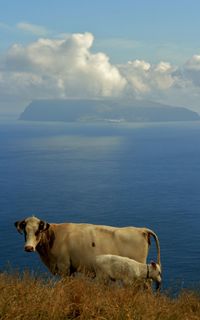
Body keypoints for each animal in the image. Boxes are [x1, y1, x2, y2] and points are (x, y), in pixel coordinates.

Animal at [14, 216, 161, 276]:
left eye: (38, 231)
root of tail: (141, 230)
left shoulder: (64, 266)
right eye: (25, 231)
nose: (28, 248)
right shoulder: (71, 269)